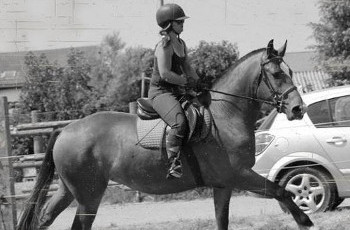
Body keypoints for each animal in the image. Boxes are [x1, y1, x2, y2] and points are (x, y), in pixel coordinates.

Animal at [16, 40, 314, 230]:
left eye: (289, 71)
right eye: (276, 74)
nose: (298, 108)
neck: (226, 115)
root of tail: (66, 129)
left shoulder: (223, 185)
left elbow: (223, 220)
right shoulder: (239, 175)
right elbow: (280, 190)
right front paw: (304, 220)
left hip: (69, 190)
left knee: (44, 218)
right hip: (89, 195)